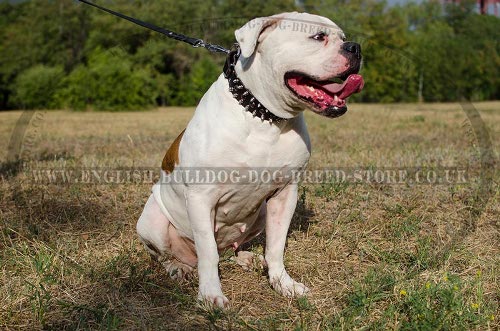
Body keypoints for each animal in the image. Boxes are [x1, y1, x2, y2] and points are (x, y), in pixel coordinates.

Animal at [137, 13, 364, 308]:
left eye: (344, 37)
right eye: (318, 37)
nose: (355, 47)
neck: (265, 116)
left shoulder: (285, 194)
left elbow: (276, 247)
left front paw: (282, 283)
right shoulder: (200, 197)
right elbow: (207, 252)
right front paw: (210, 295)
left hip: (261, 213)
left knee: (230, 250)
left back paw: (248, 259)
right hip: (152, 221)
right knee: (171, 255)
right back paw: (179, 268)